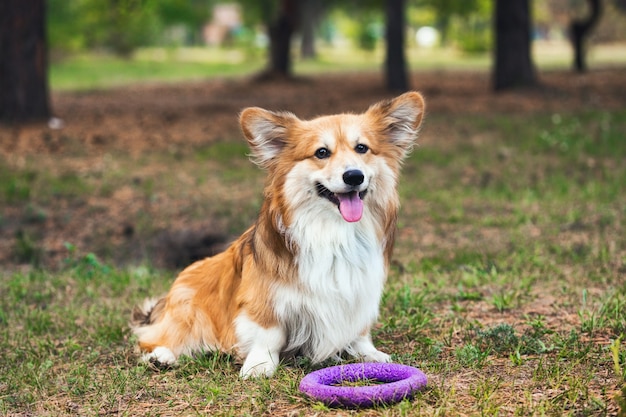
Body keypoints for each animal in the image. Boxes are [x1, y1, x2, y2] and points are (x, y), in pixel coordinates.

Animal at [131, 91, 424, 376]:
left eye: (362, 148)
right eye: (321, 153)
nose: (354, 176)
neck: (332, 231)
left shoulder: (360, 292)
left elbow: (359, 332)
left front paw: (370, 354)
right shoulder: (264, 299)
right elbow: (268, 334)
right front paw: (260, 365)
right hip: (189, 313)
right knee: (159, 339)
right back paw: (162, 357)